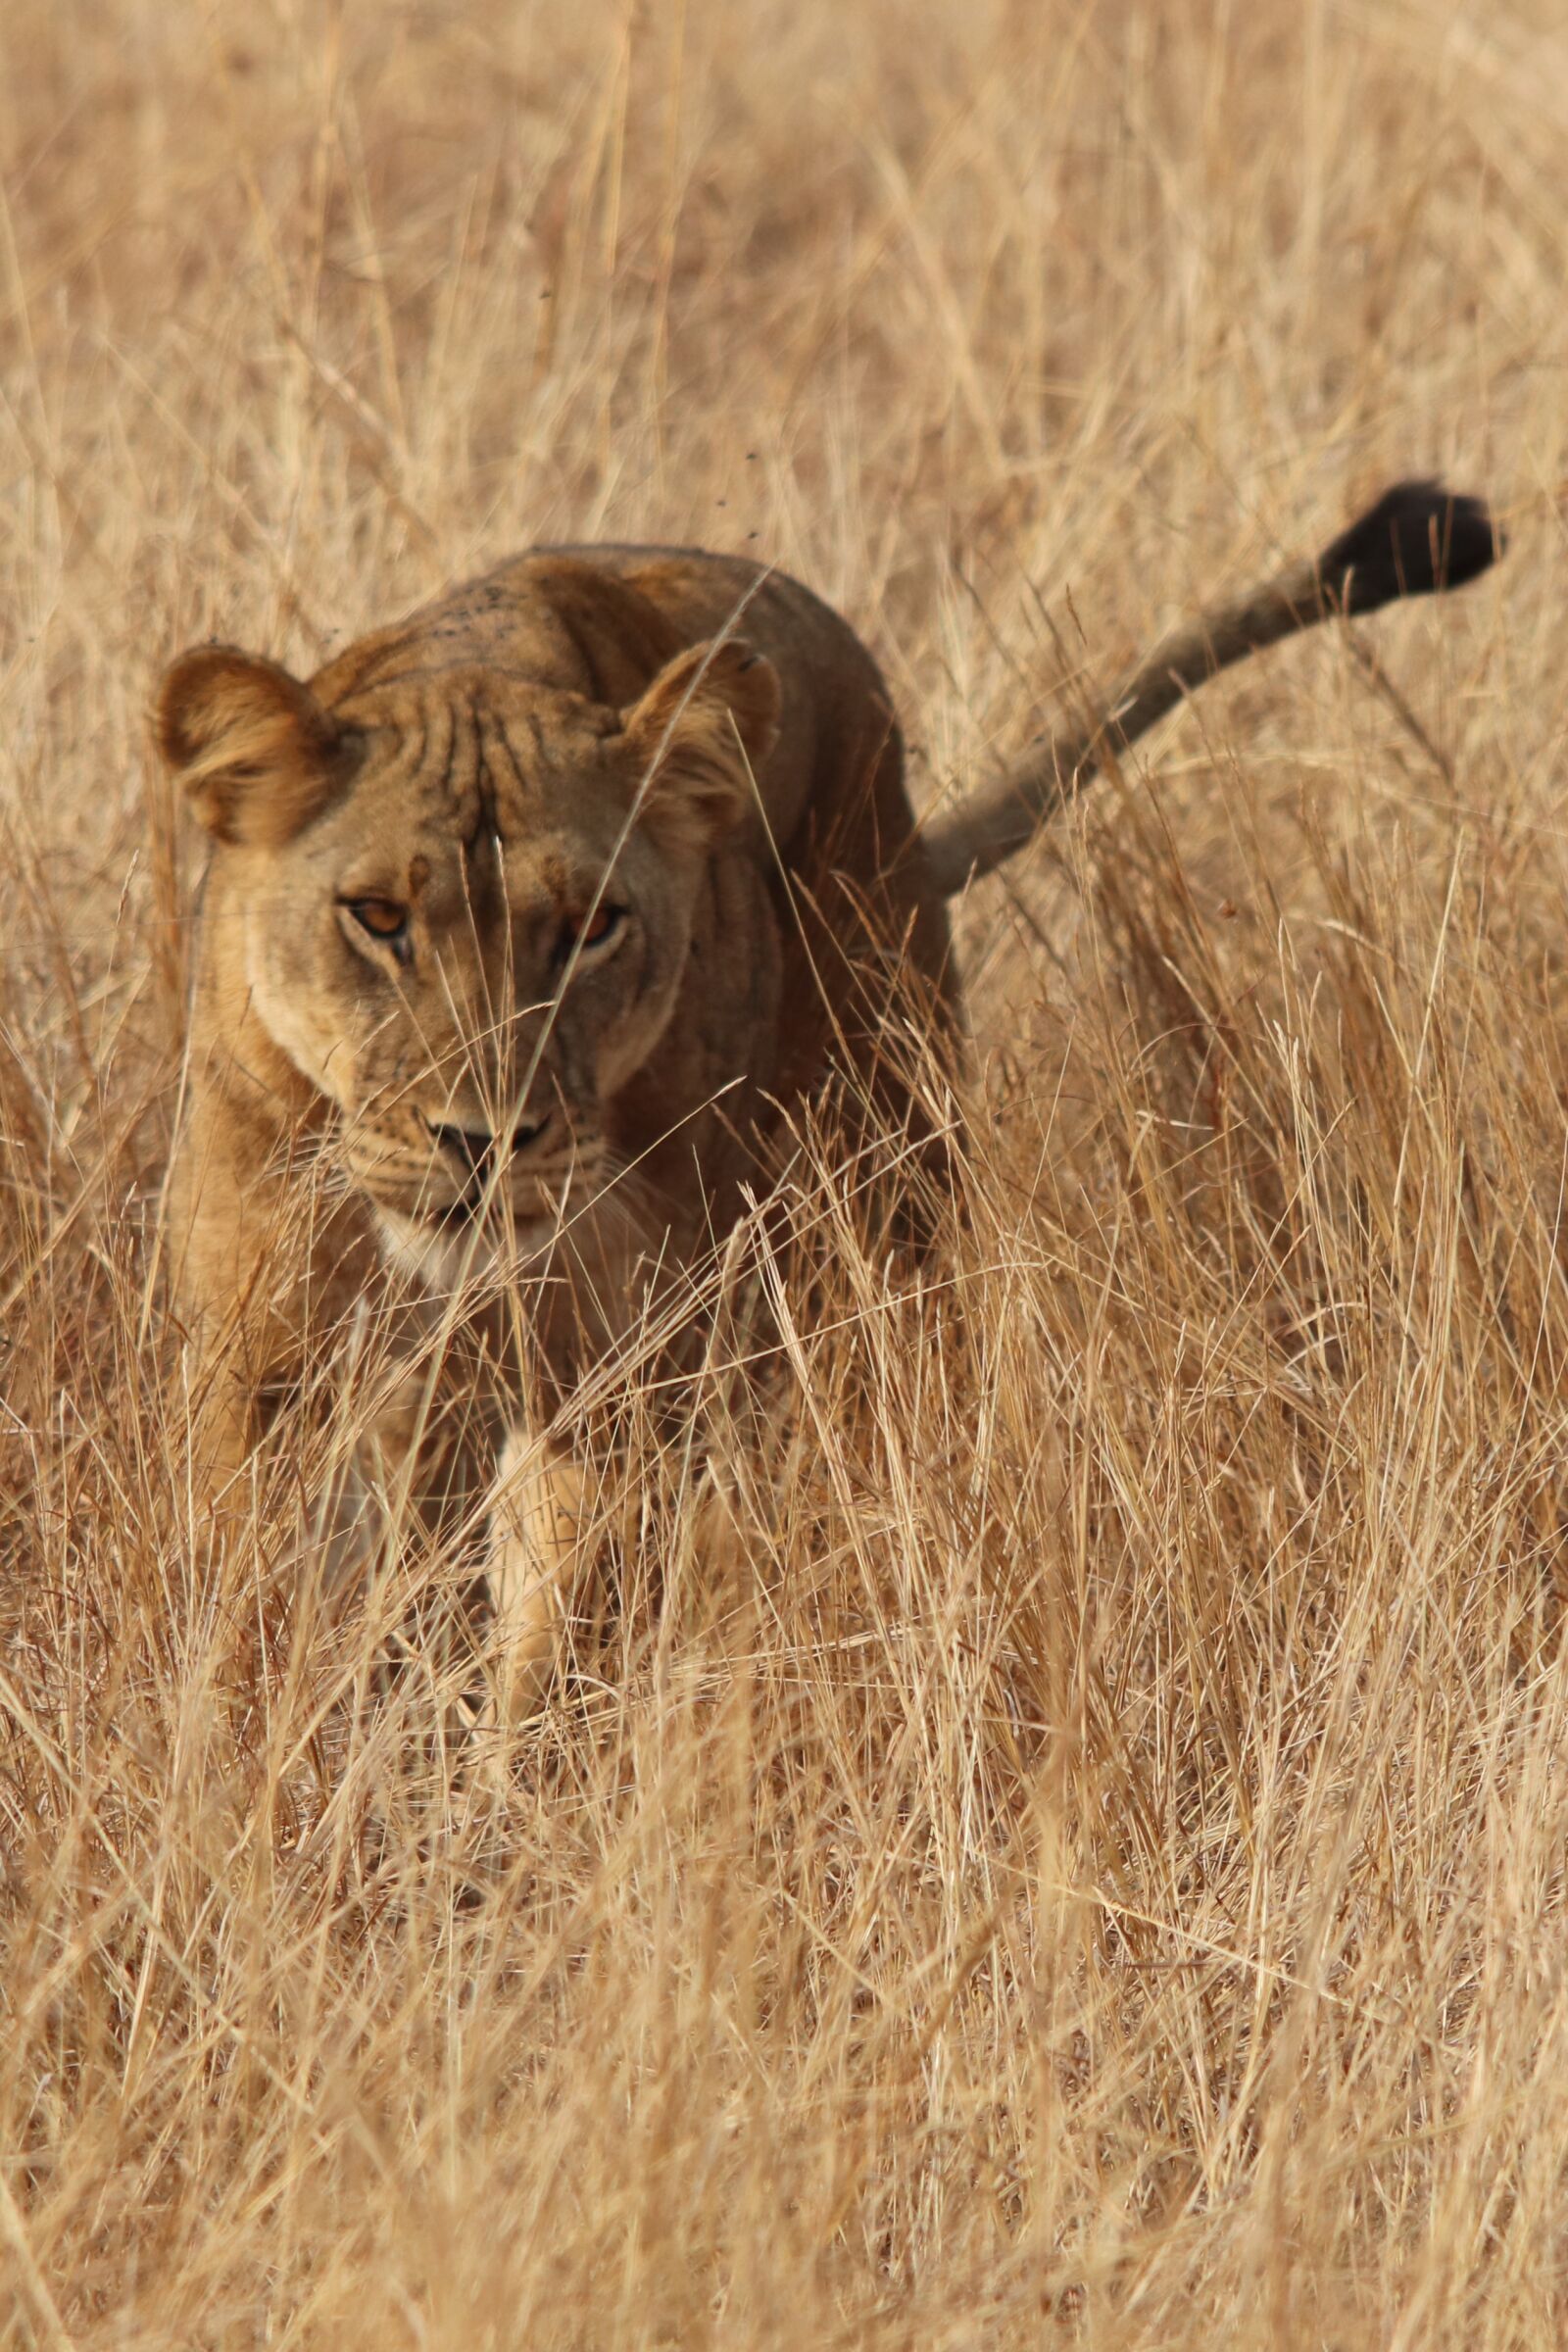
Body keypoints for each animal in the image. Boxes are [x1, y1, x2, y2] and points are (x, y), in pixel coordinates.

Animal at [154, 482, 1497, 1718]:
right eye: (378, 917)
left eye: (591, 929)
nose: (483, 1144)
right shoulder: (264, 1361)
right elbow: (256, 1623)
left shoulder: (616, 1371)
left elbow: (557, 1650)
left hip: (877, 1197)